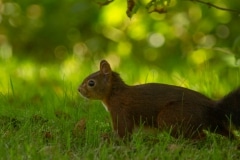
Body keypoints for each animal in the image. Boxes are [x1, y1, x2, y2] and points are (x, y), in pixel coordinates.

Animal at [78, 60, 240, 140]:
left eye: (91, 83)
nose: (79, 90)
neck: (114, 93)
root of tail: (211, 106)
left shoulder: (120, 110)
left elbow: (123, 133)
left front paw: (107, 138)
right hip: (213, 123)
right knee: (228, 133)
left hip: (170, 116)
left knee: (201, 137)